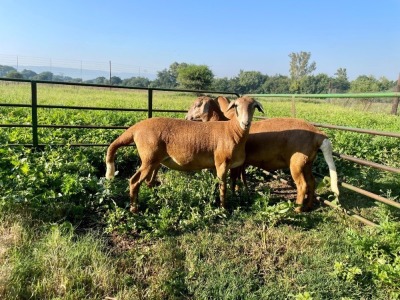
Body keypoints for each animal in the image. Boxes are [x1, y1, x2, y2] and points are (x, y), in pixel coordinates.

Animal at [104, 97, 264, 212]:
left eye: (254, 107)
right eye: (236, 106)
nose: (245, 123)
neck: (232, 130)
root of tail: (136, 128)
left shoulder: (227, 165)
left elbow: (226, 184)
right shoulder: (221, 163)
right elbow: (223, 187)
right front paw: (223, 208)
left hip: (154, 161)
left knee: (148, 181)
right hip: (149, 158)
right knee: (134, 181)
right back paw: (134, 210)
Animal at [186, 96, 340, 211]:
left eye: (197, 104)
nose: (187, 117)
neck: (225, 123)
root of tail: (318, 135)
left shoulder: (234, 162)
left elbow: (234, 178)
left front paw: (235, 193)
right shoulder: (241, 163)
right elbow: (240, 177)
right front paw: (242, 191)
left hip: (296, 163)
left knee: (302, 185)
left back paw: (297, 208)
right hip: (307, 162)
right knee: (312, 182)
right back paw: (308, 206)